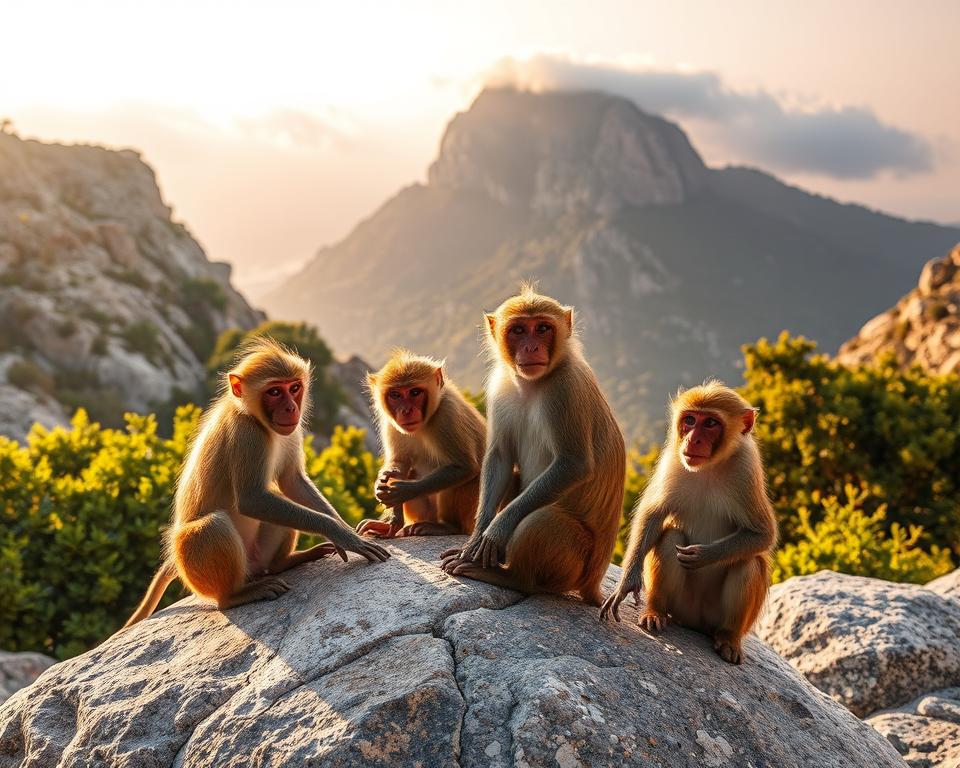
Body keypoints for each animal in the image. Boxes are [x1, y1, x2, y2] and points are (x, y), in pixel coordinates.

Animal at [124, 337, 390, 627]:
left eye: (294, 388)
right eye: (274, 392)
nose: (291, 408)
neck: (254, 417)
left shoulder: (291, 431)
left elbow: (291, 482)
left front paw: (345, 527)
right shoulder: (246, 434)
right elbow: (253, 499)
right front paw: (342, 534)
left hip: (257, 556)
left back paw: (285, 563)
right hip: (197, 569)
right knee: (212, 526)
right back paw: (233, 596)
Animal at [355, 350, 486, 538]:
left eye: (415, 392)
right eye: (395, 395)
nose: (406, 410)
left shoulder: (447, 414)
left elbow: (464, 467)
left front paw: (404, 491)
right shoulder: (390, 423)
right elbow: (399, 463)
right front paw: (383, 488)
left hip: (472, 515)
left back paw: (449, 526)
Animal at [440, 286, 625, 605]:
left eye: (542, 328)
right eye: (518, 330)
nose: (530, 348)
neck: (532, 384)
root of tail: (593, 583)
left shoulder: (566, 388)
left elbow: (573, 464)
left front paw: (496, 531)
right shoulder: (500, 387)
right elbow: (501, 458)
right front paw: (476, 538)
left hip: (576, 565)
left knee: (542, 522)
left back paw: (511, 577)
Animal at [600, 381, 777, 664]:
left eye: (711, 423)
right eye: (690, 420)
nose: (693, 439)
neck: (709, 468)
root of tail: (695, 622)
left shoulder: (746, 469)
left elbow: (762, 534)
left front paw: (704, 555)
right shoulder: (673, 459)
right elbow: (654, 514)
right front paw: (627, 583)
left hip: (718, 617)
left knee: (749, 561)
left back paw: (728, 638)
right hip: (682, 605)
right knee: (670, 538)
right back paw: (655, 612)